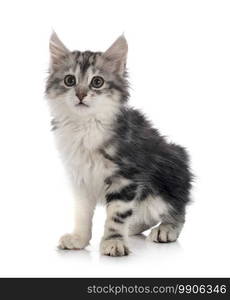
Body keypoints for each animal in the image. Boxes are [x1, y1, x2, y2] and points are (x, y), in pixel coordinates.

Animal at [45, 33, 192, 258]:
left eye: (97, 82)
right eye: (70, 80)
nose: (80, 94)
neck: (86, 126)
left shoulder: (125, 176)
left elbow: (117, 214)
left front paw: (113, 242)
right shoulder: (80, 178)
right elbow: (82, 213)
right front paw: (79, 239)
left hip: (169, 171)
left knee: (176, 208)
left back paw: (166, 229)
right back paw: (133, 228)